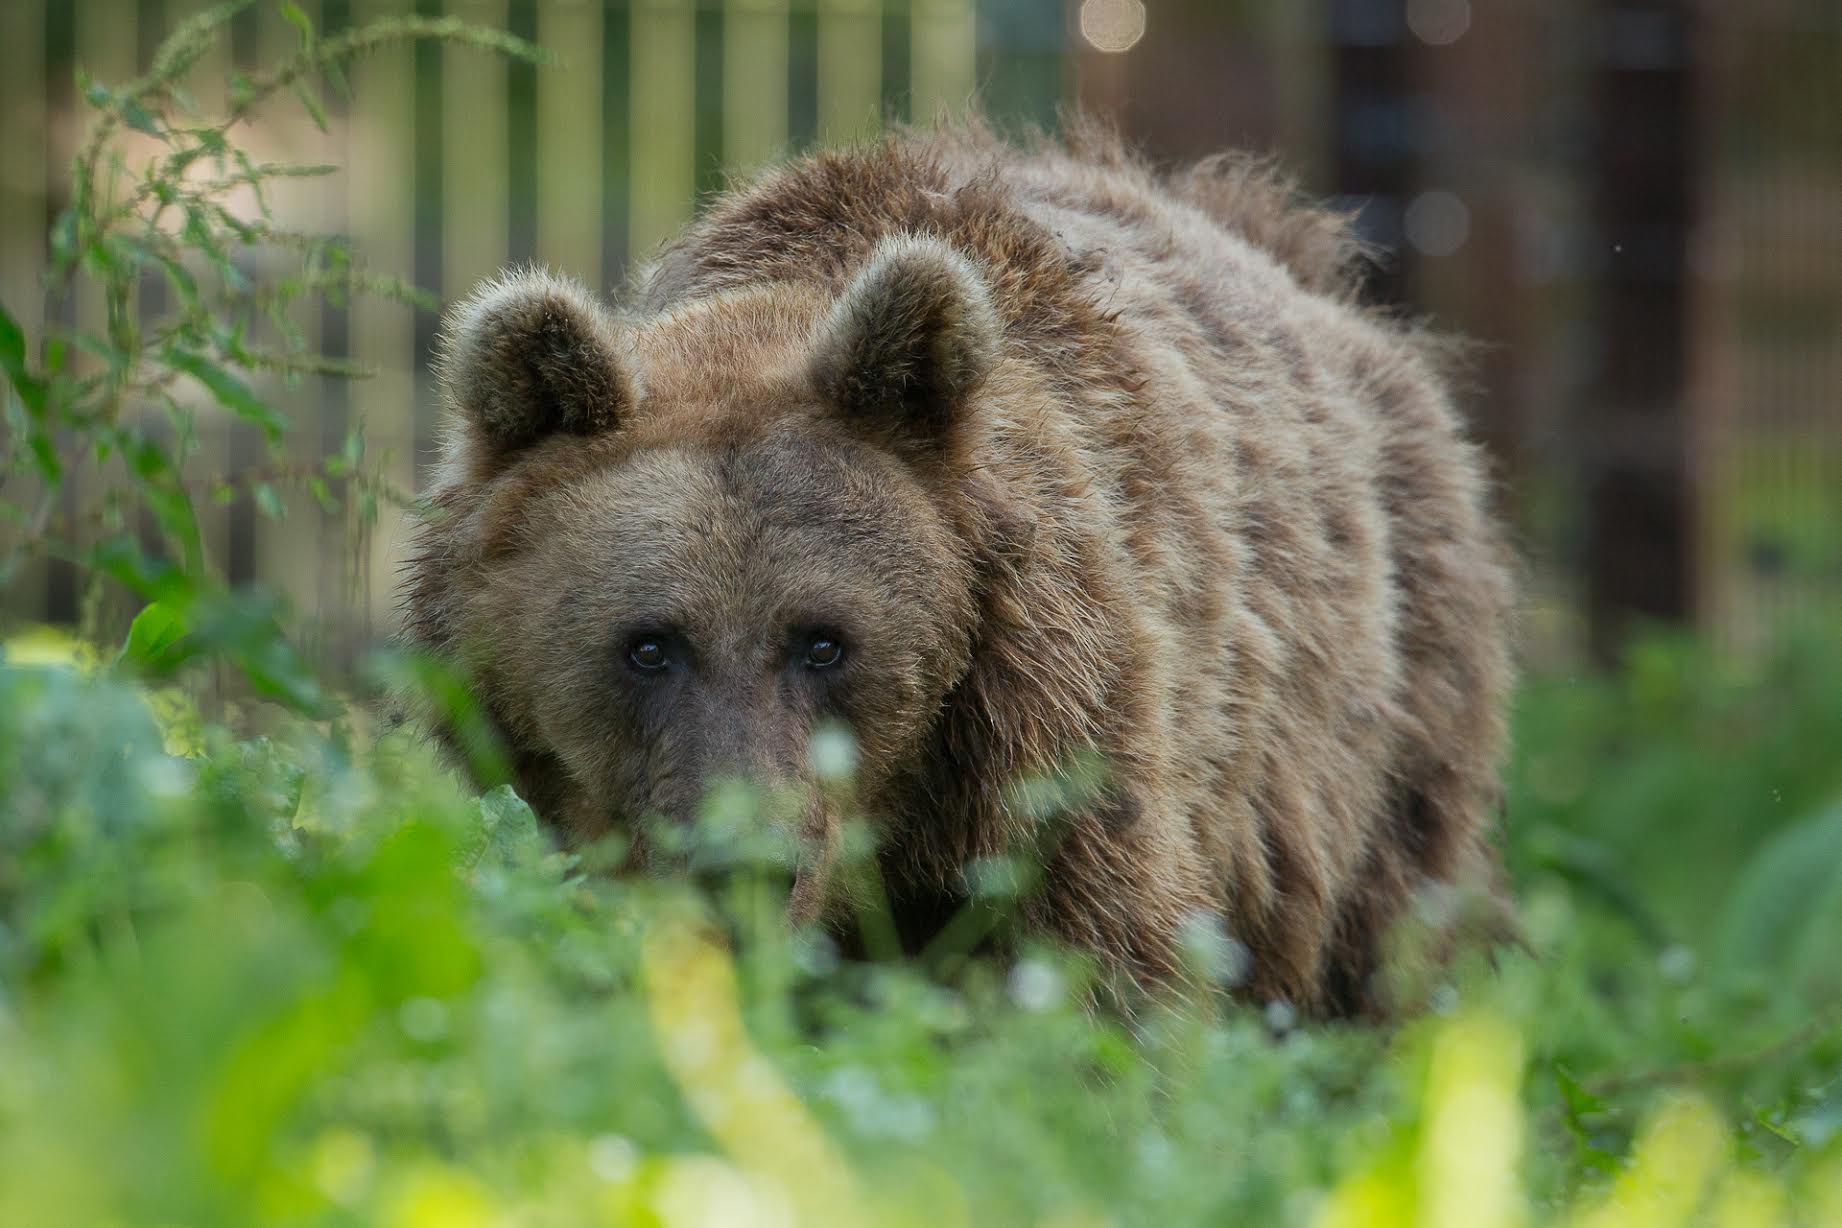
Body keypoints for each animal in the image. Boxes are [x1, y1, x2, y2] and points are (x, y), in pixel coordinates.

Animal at [410, 122, 1517, 1016]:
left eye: (824, 641)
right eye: (648, 644)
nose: (749, 865)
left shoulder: (1052, 732)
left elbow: (1105, 967)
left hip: (1367, 718)